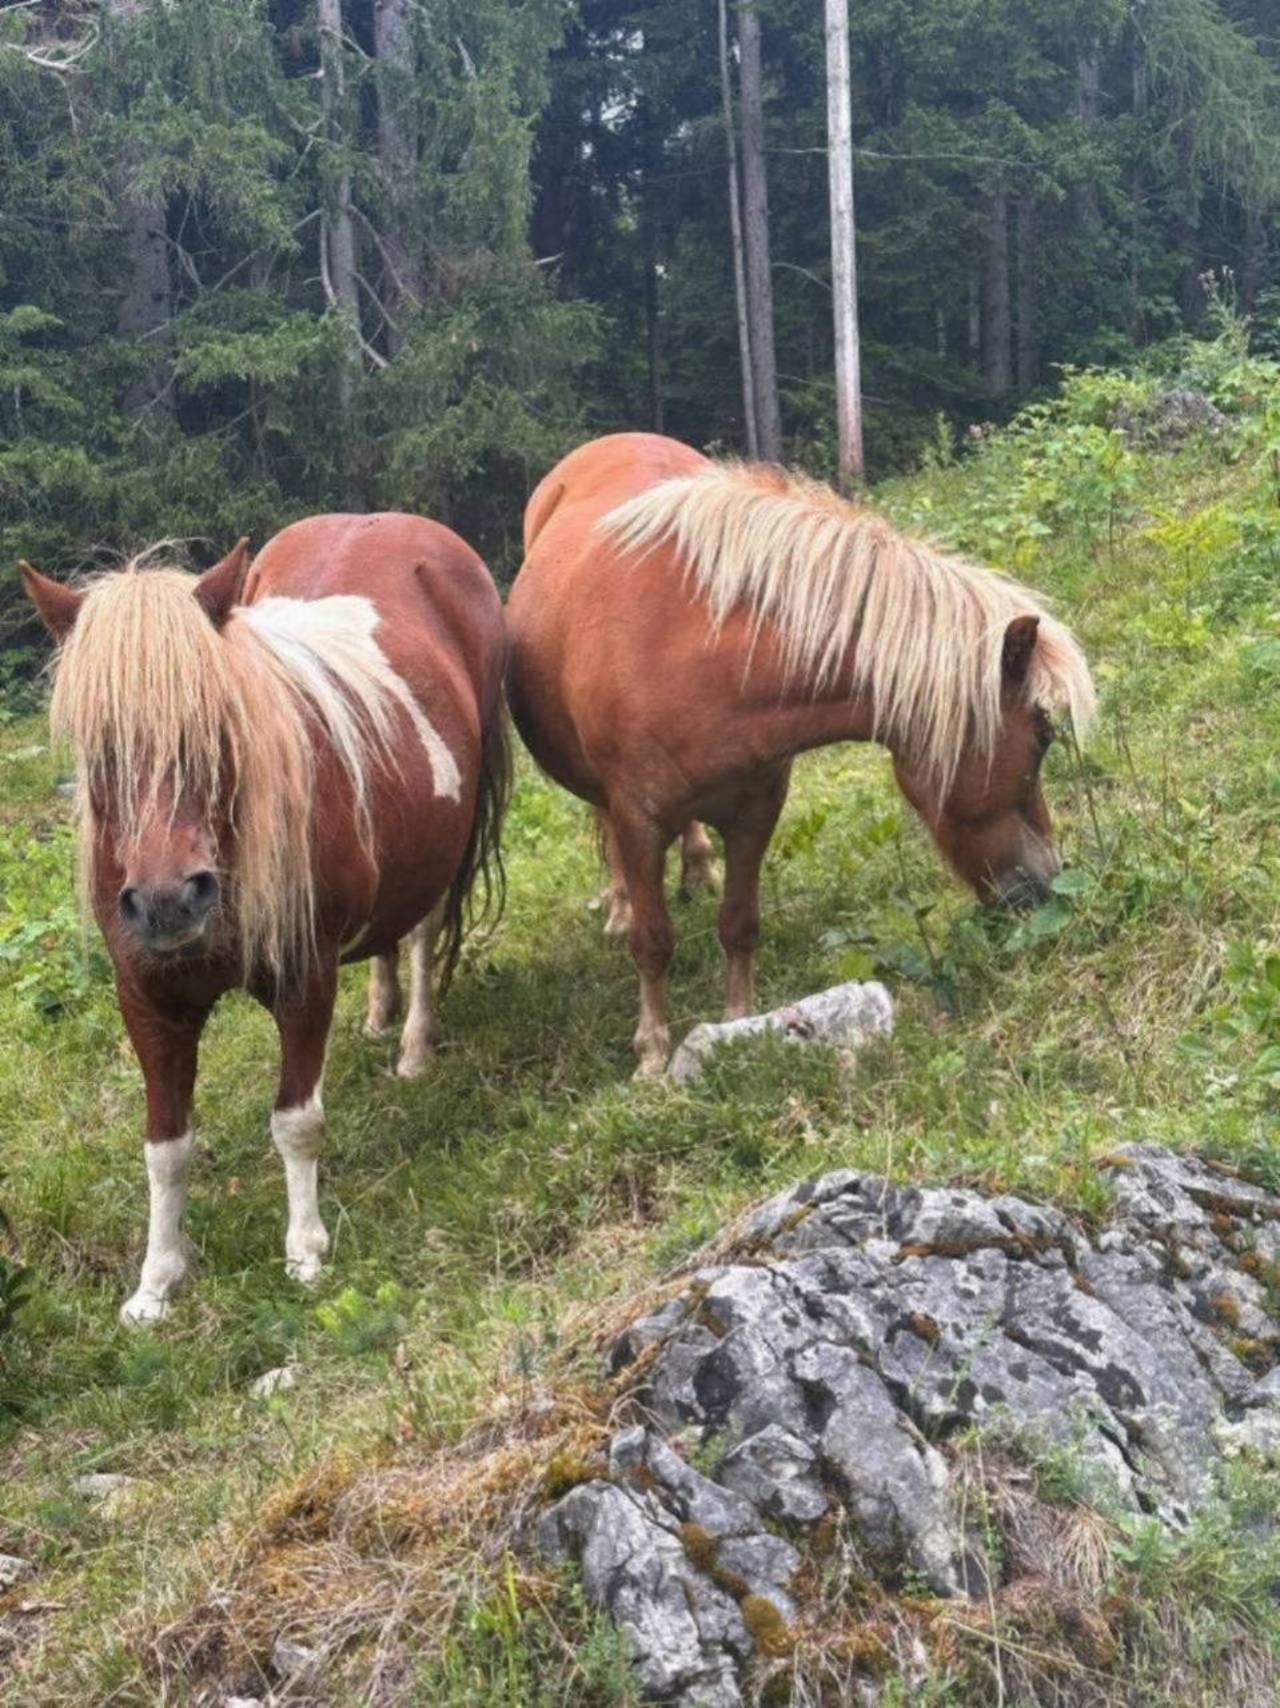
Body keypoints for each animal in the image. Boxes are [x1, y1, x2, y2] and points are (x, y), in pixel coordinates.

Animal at [21, 512, 505, 1325]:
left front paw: (305, 1250)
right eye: (97, 744)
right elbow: (165, 1147)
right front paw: (156, 1282)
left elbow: (296, 1122)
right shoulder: (148, 1000)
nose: (167, 901)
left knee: (419, 934)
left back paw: (413, 1045)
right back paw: (380, 1016)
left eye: (216, 724)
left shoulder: (304, 979)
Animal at [505, 433, 1093, 1072]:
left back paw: (697, 868)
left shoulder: (756, 810)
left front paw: (737, 1023)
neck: (699, 653)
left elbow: (739, 923)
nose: (1047, 884)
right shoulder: (639, 823)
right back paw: (619, 906)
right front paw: (653, 1054)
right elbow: (653, 939)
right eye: (1041, 736)